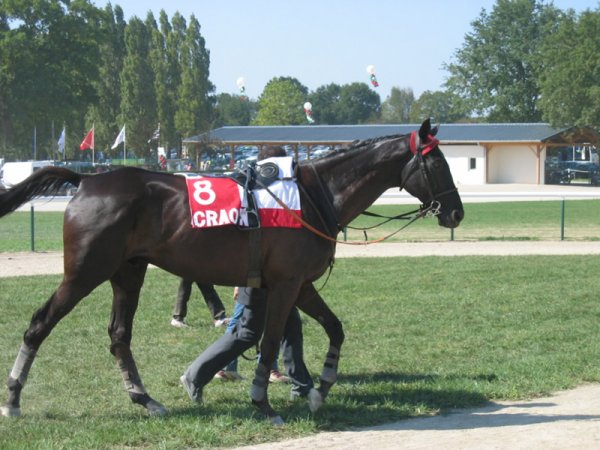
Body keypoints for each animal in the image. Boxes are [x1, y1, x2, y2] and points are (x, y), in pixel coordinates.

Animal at [0, 118, 464, 422]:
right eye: (439, 164)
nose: (456, 212)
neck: (313, 196)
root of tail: (85, 181)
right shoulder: (285, 284)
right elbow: (272, 339)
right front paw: (263, 400)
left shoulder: (299, 284)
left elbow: (334, 328)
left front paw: (320, 388)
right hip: (85, 272)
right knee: (39, 325)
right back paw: (14, 399)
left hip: (128, 272)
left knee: (118, 336)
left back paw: (145, 399)